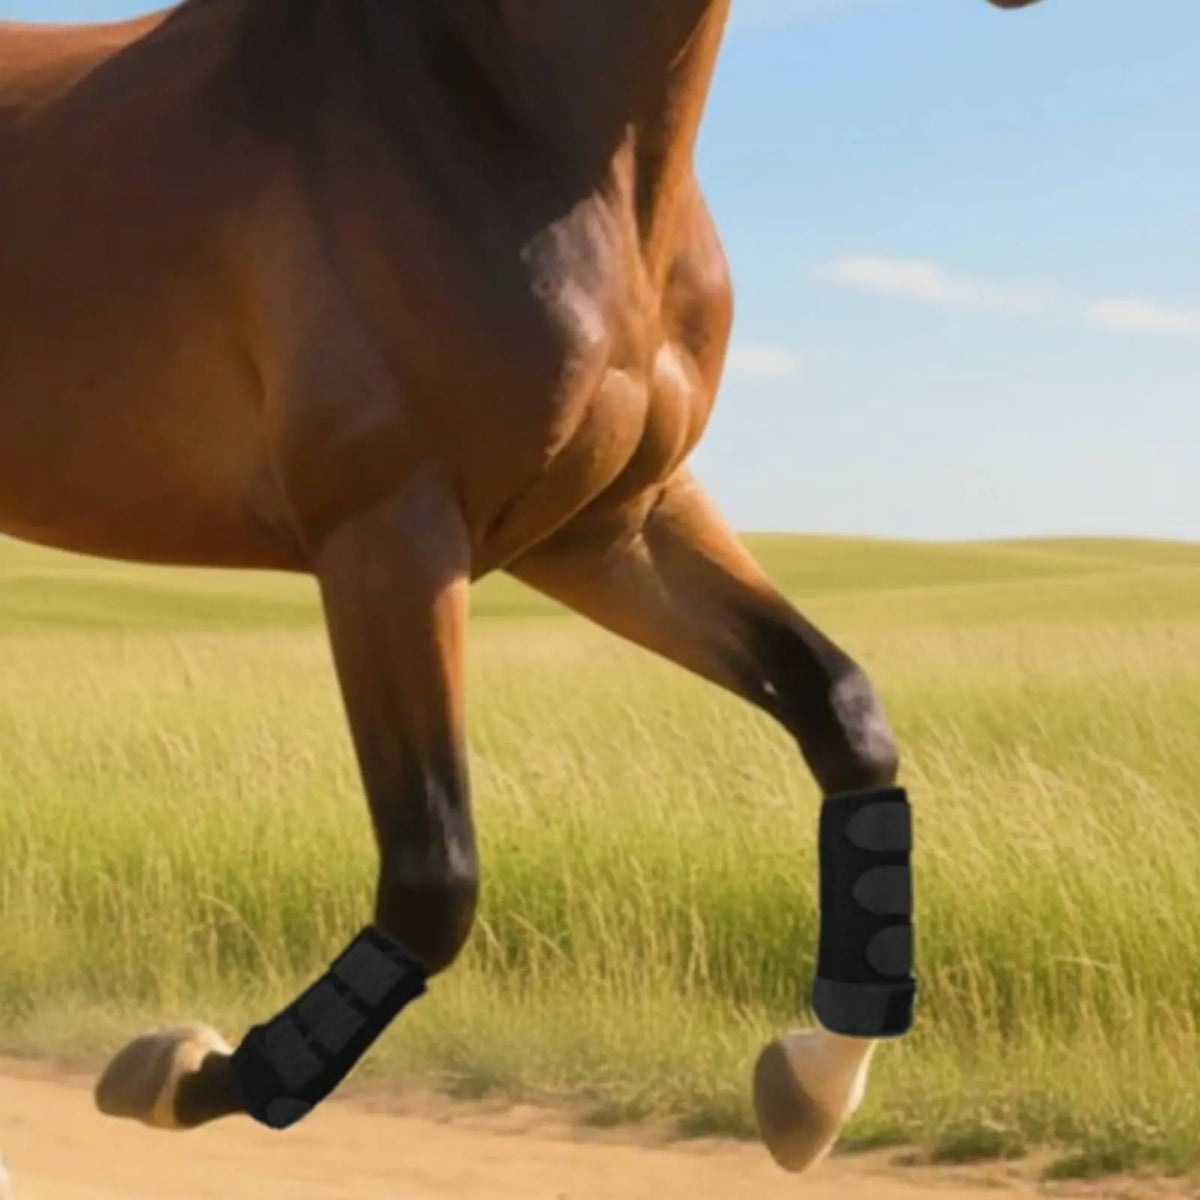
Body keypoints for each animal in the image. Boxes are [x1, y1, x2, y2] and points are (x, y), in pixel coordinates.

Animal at [0, 0, 1042, 1174]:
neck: (512, 114)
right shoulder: (390, 536)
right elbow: (433, 876)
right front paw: (181, 1070)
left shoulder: (612, 529)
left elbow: (841, 710)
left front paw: (814, 1079)